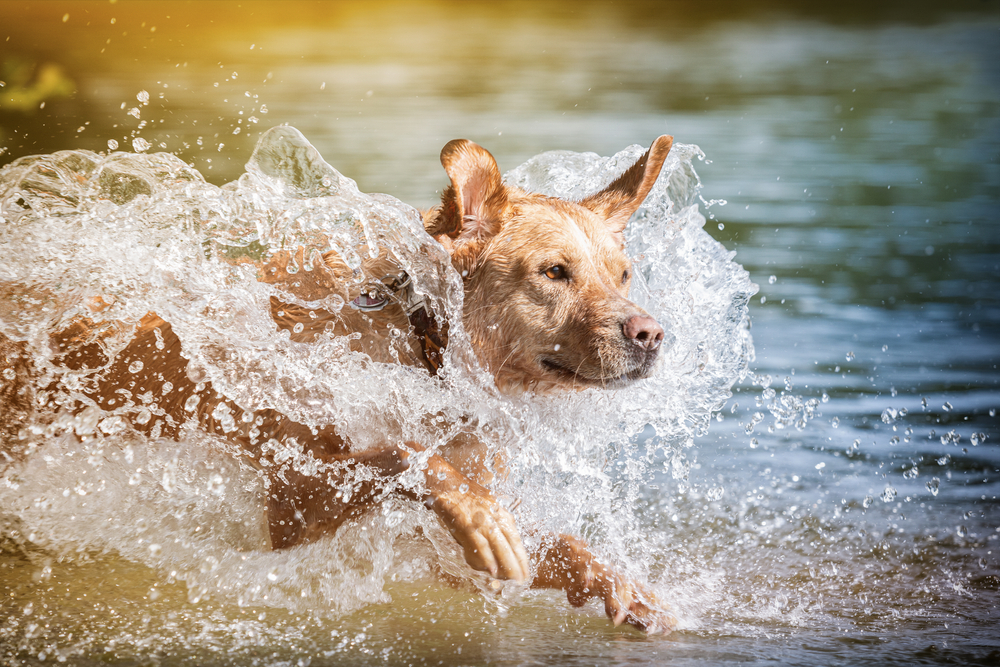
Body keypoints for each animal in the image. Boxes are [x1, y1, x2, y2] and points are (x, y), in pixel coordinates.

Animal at [3, 133, 676, 636]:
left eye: (622, 273)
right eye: (554, 272)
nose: (650, 334)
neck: (419, 340)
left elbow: (549, 545)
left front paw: (614, 582)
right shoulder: (293, 499)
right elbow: (401, 455)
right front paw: (480, 517)